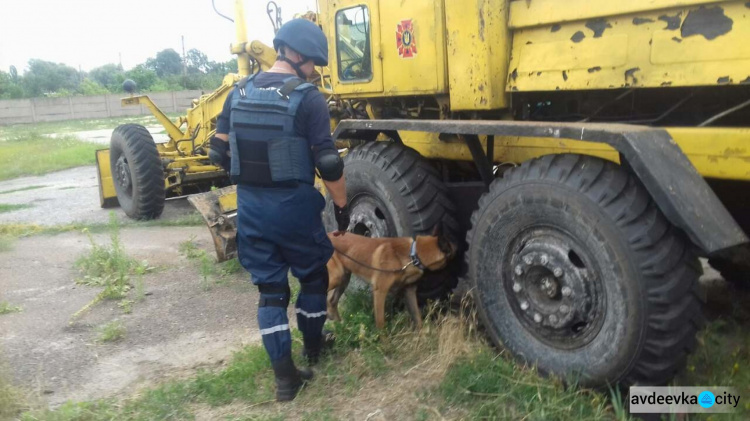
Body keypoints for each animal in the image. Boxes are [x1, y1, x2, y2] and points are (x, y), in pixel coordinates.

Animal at [326, 225, 456, 330]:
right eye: (451, 246)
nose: (458, 245)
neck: (413, 255)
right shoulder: (380, 292)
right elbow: (380, 323)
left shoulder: (409, 291)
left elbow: (417, 318)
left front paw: (423, 338)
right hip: (336, 277)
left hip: (344, 279)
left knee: (332, 301)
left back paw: (340, 326)